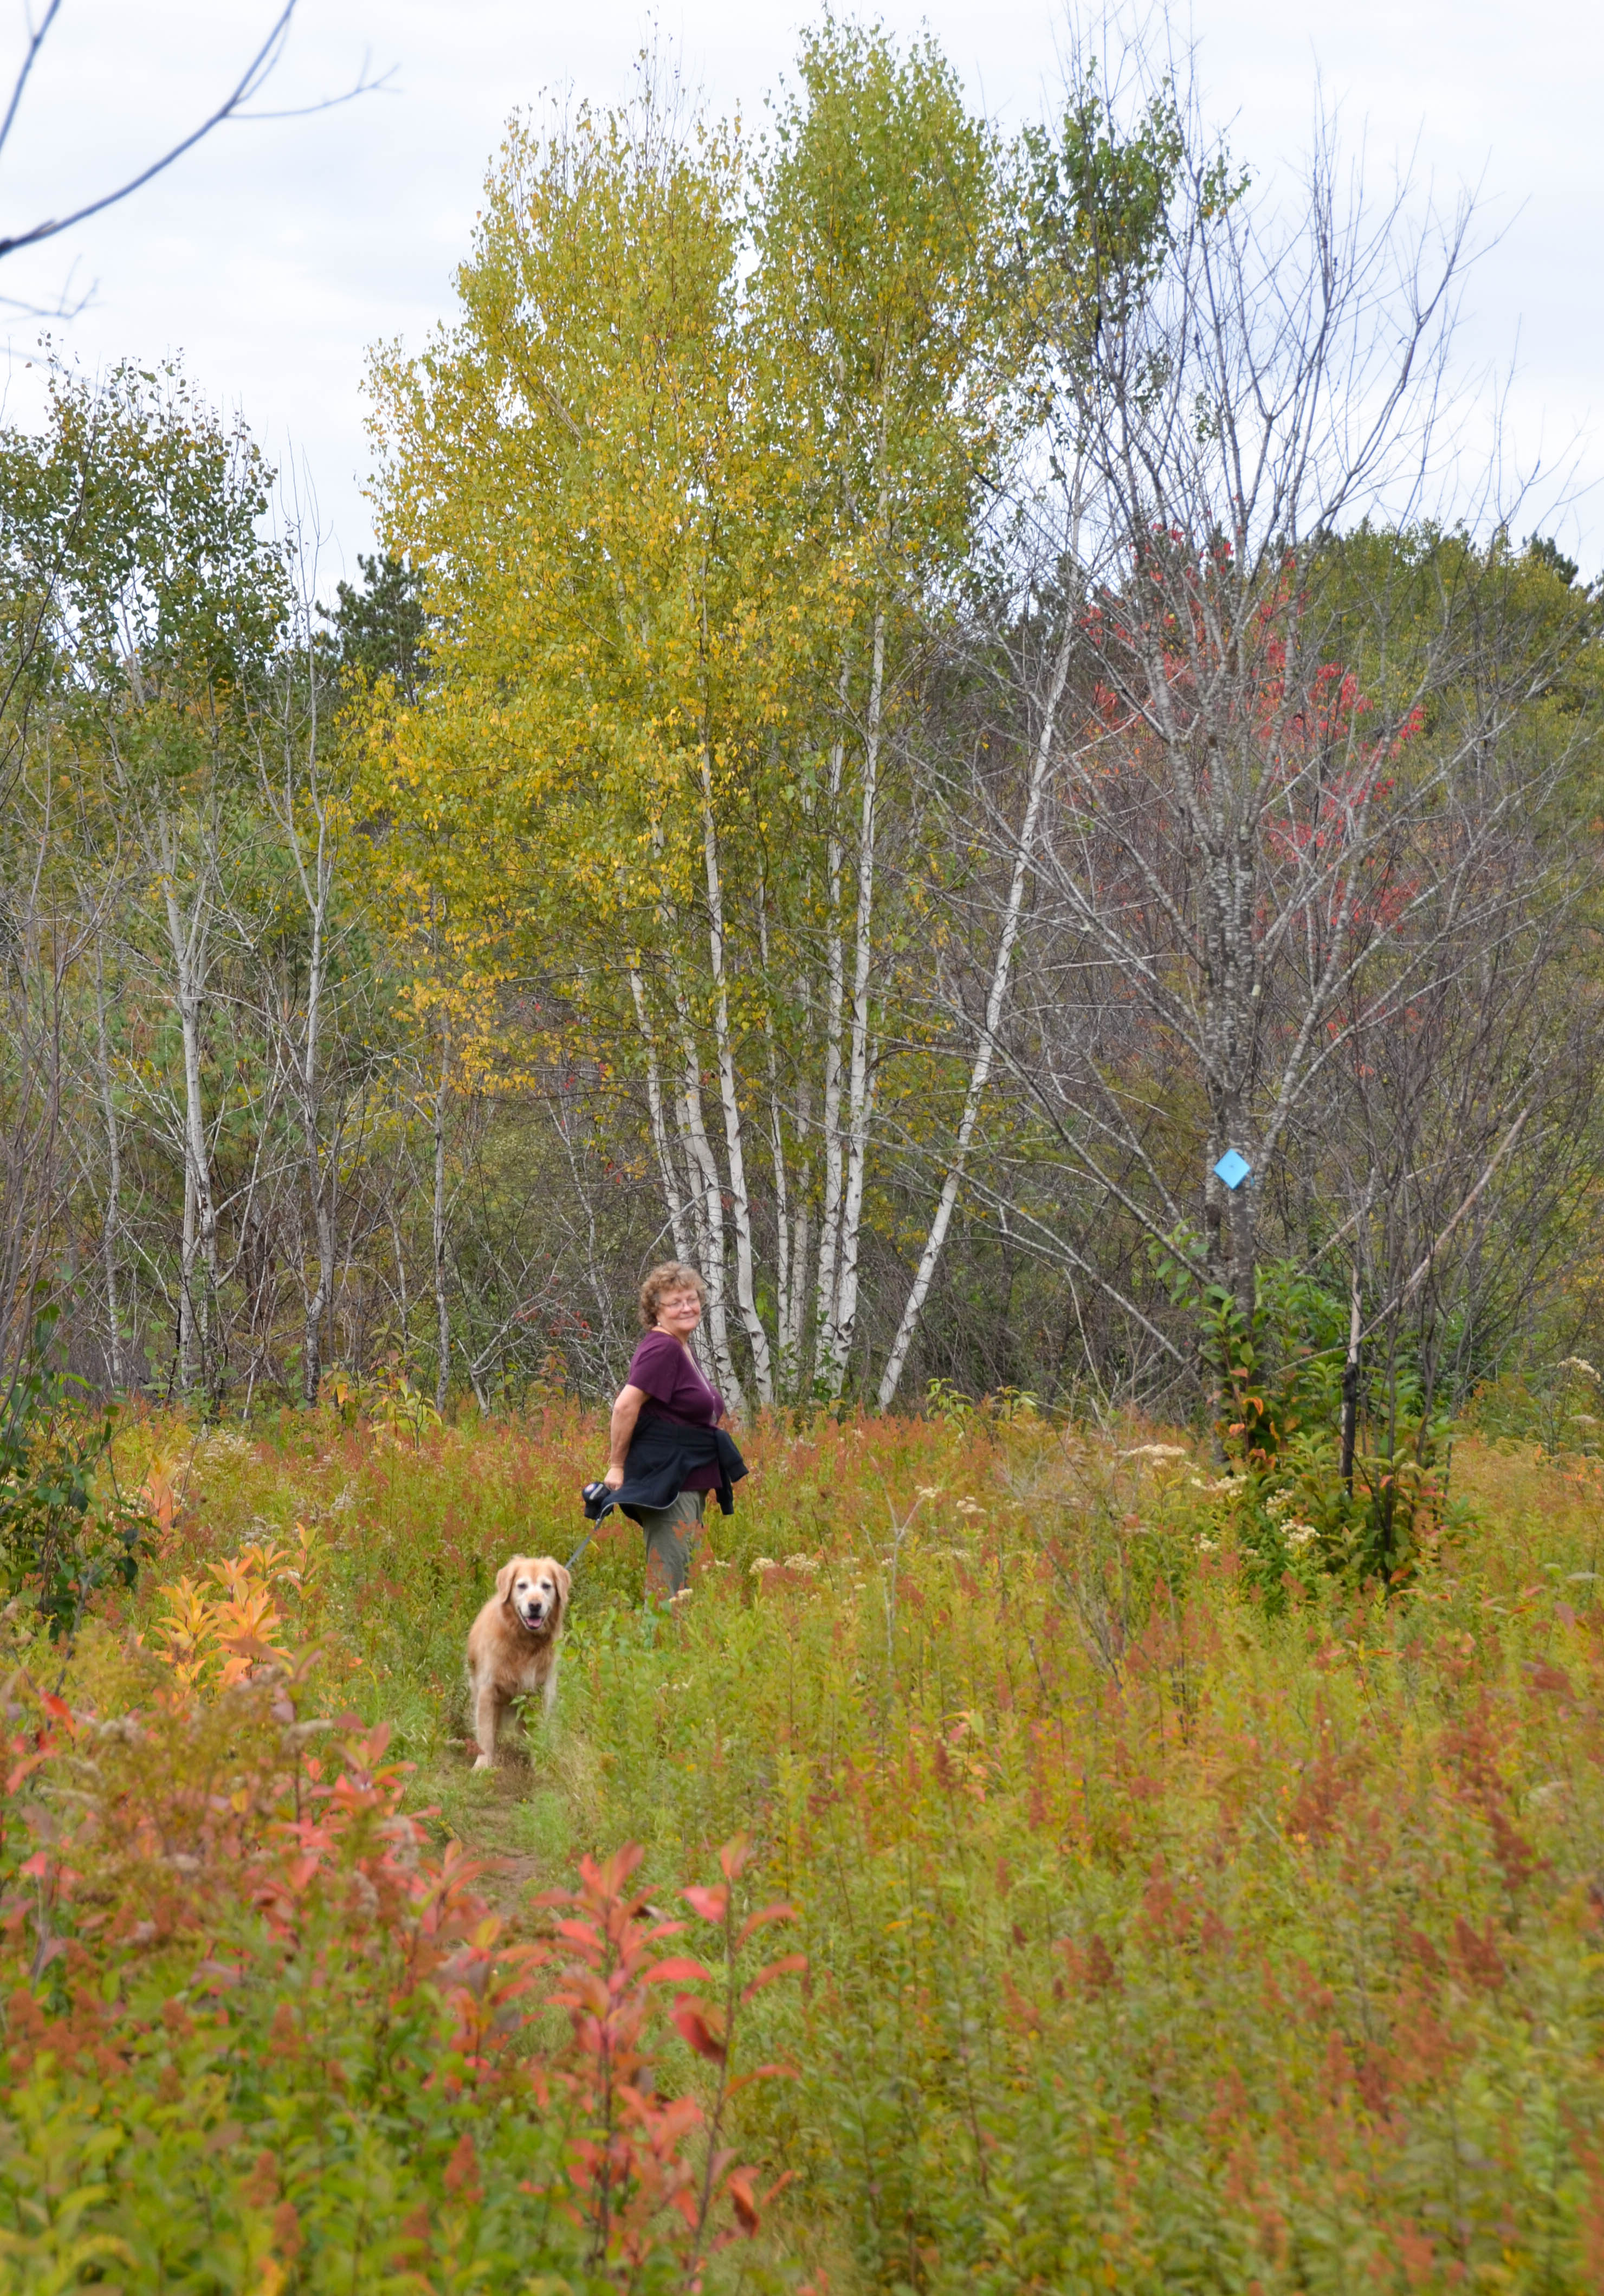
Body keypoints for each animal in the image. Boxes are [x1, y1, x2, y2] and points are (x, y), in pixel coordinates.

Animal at [463, 1561, 571, 1772]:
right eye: (522, 1586)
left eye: (546, 1586)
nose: (535, 1605)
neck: (525, 1644)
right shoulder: (488, 1690)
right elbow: (486, 1733)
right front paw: (482, 1765)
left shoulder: (540, 1693)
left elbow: (537, 1731)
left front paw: (539, 1764)